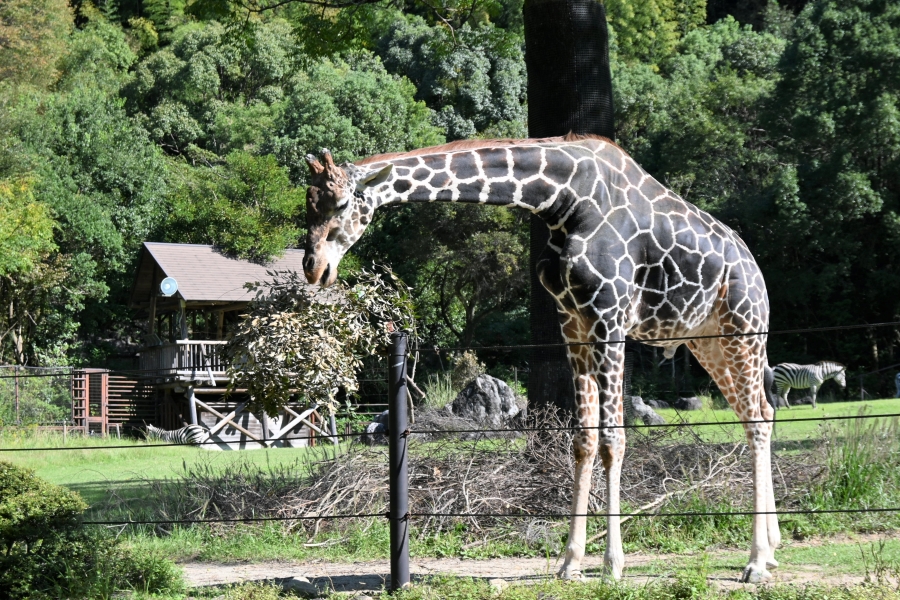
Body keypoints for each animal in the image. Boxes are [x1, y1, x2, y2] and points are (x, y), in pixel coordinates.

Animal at [304, 135, 780, 580]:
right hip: (707, 341)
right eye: (309, 203)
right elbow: (584, 439)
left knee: (758, 418)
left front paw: (612, 564)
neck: (562, 202)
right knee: (762, 411)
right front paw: (570, 562)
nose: (314, 268)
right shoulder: (574, 324)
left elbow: (614, 440)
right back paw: (772, 547)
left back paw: (756, 562)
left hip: (744, 330)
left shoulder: (610, 318)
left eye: (342, 202)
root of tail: (755, 267)